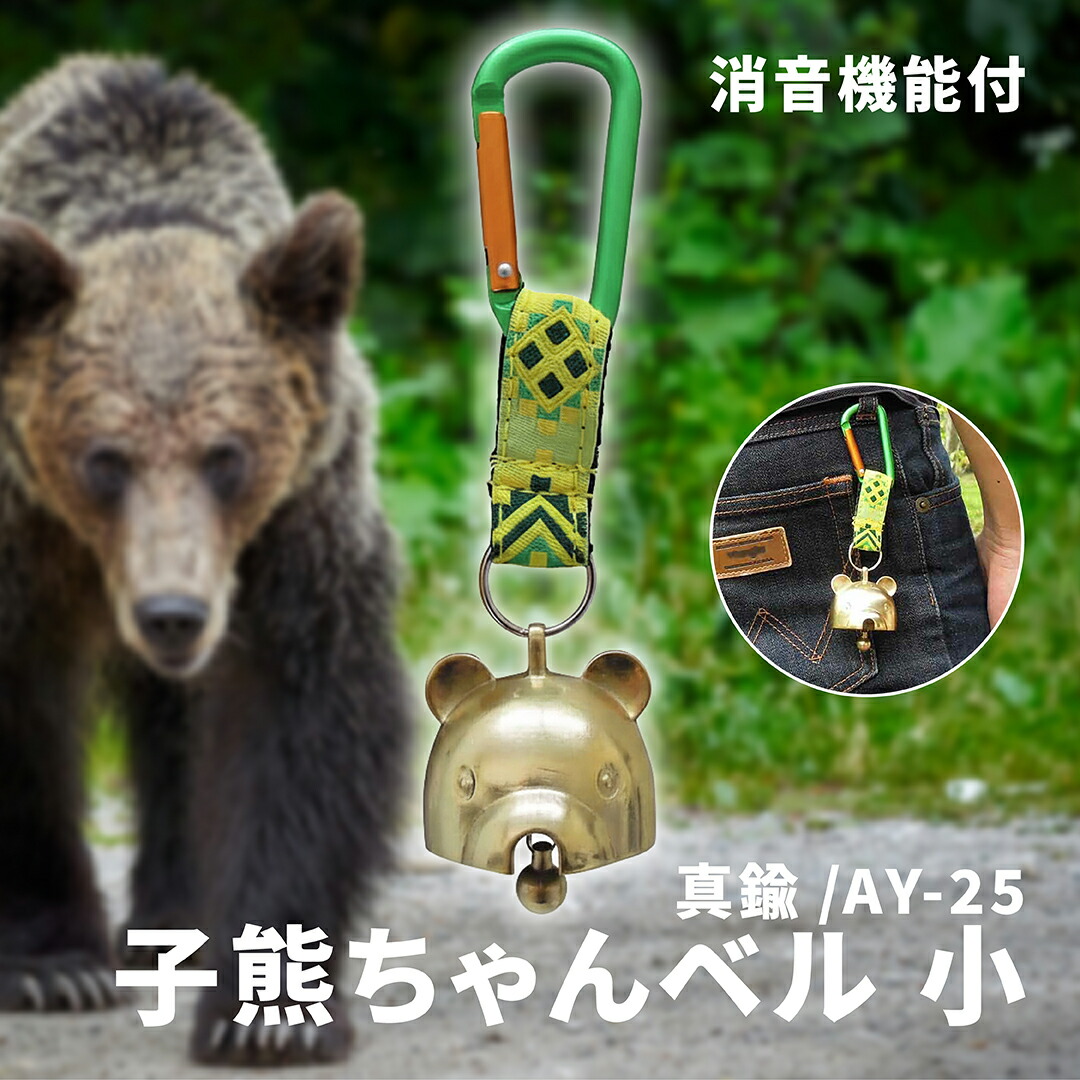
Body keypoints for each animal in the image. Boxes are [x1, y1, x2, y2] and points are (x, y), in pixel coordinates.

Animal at [0, 56, 410, 1064]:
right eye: (104, 458)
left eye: (227, 454)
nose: (172, 614)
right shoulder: (22, 530)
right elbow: (20, 717)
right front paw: (50, 964)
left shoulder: (295, 526)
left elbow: (294, 717)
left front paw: (270, 1011)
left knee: (179, 732)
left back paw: (174, 920)